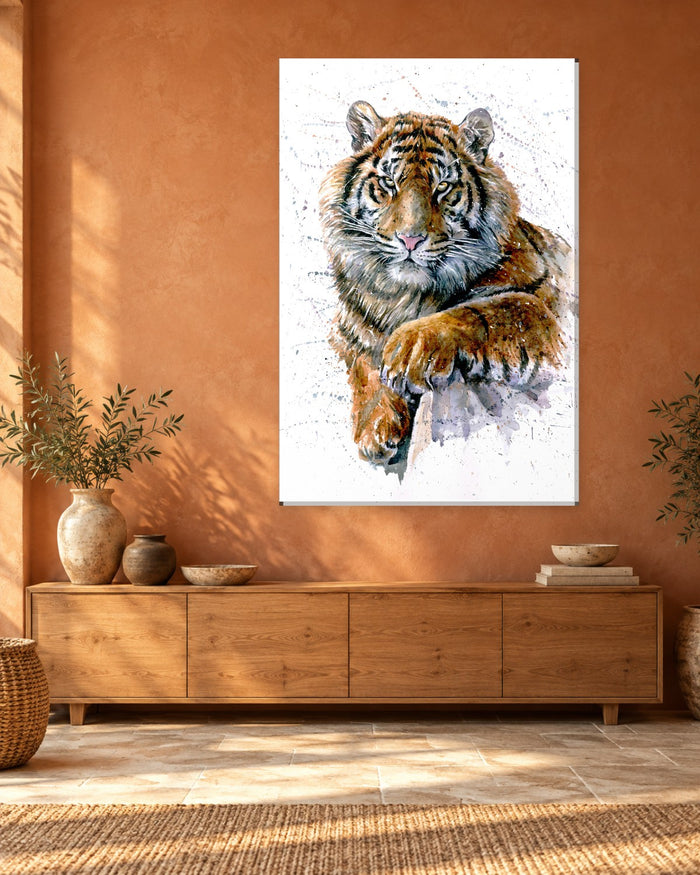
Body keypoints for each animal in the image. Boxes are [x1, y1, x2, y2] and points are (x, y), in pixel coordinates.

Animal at [319, 100, 571, 469]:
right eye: (389, 183)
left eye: (442, 188)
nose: (410, 239)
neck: (405, 296)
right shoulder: (349, 329)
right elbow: (364, 364)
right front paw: (375, 429)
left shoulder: (542, 307)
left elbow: (480, 311)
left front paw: (408, 349)